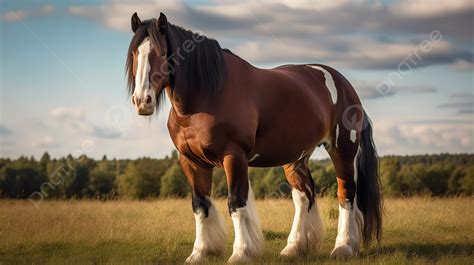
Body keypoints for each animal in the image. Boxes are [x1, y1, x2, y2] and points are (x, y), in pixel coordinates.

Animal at [125, 12, 382, 262]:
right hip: (296, 158)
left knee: (346, 194)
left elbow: (236, 204)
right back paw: (294, 248)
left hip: (343, 150)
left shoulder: (234, 156)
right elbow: (200, 205)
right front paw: (200, 252)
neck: (208, 95)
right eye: (135, 53)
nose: (142, 101)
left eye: (162, 53)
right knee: (304, 196)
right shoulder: (191, 161)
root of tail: (344, 84)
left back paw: (344, 247)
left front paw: (240, 253)